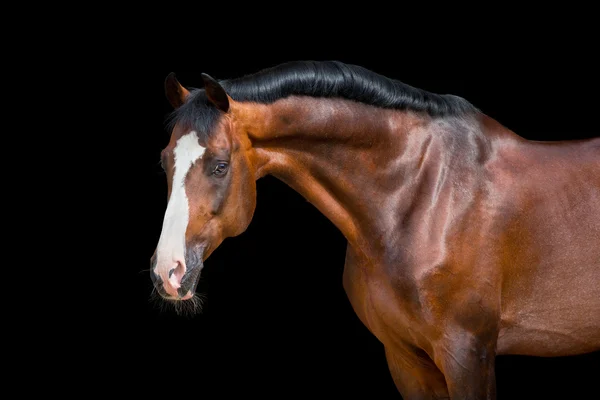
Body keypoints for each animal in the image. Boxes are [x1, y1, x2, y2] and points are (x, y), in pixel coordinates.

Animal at [151, 61, 600, 398]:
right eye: (164, 160)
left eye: (220, 165)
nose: (167, 272)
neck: (422, 199)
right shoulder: (405, 360)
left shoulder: (468, 355)